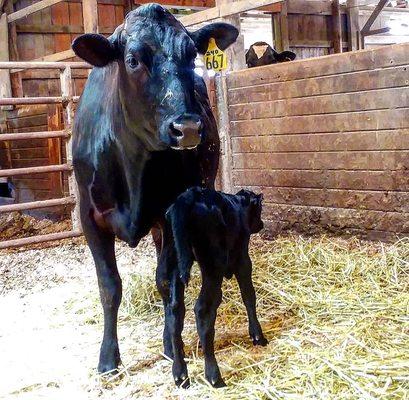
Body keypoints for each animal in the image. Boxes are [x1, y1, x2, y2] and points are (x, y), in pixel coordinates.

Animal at [157, 187, 268, 388]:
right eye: (259, 210)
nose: (261, 224)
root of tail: (188, 196)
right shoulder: (242, 256)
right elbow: (248, 294)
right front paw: (257, 335)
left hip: (172, 262)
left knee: (174, 311)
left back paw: (180, 373)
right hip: (212, 264)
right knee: (203, 309)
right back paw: (213, 376)